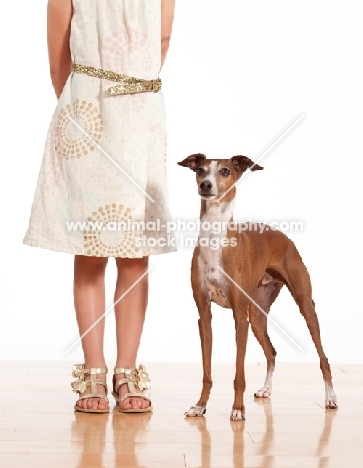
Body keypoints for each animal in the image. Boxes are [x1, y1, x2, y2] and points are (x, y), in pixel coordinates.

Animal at [179, 154, 338, 420]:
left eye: (225, 171)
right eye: (200, 170)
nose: (205, 185)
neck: (214, 238)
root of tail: (282, 235)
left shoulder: (239, 317)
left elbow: (239, 373)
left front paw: (237, 409)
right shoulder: (204, 316)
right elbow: (207, 371)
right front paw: (200, 405)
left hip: (304, 306)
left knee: (323, 357)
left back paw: (330, 398)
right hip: (256, 314)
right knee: (271, 352)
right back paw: (266, 389)